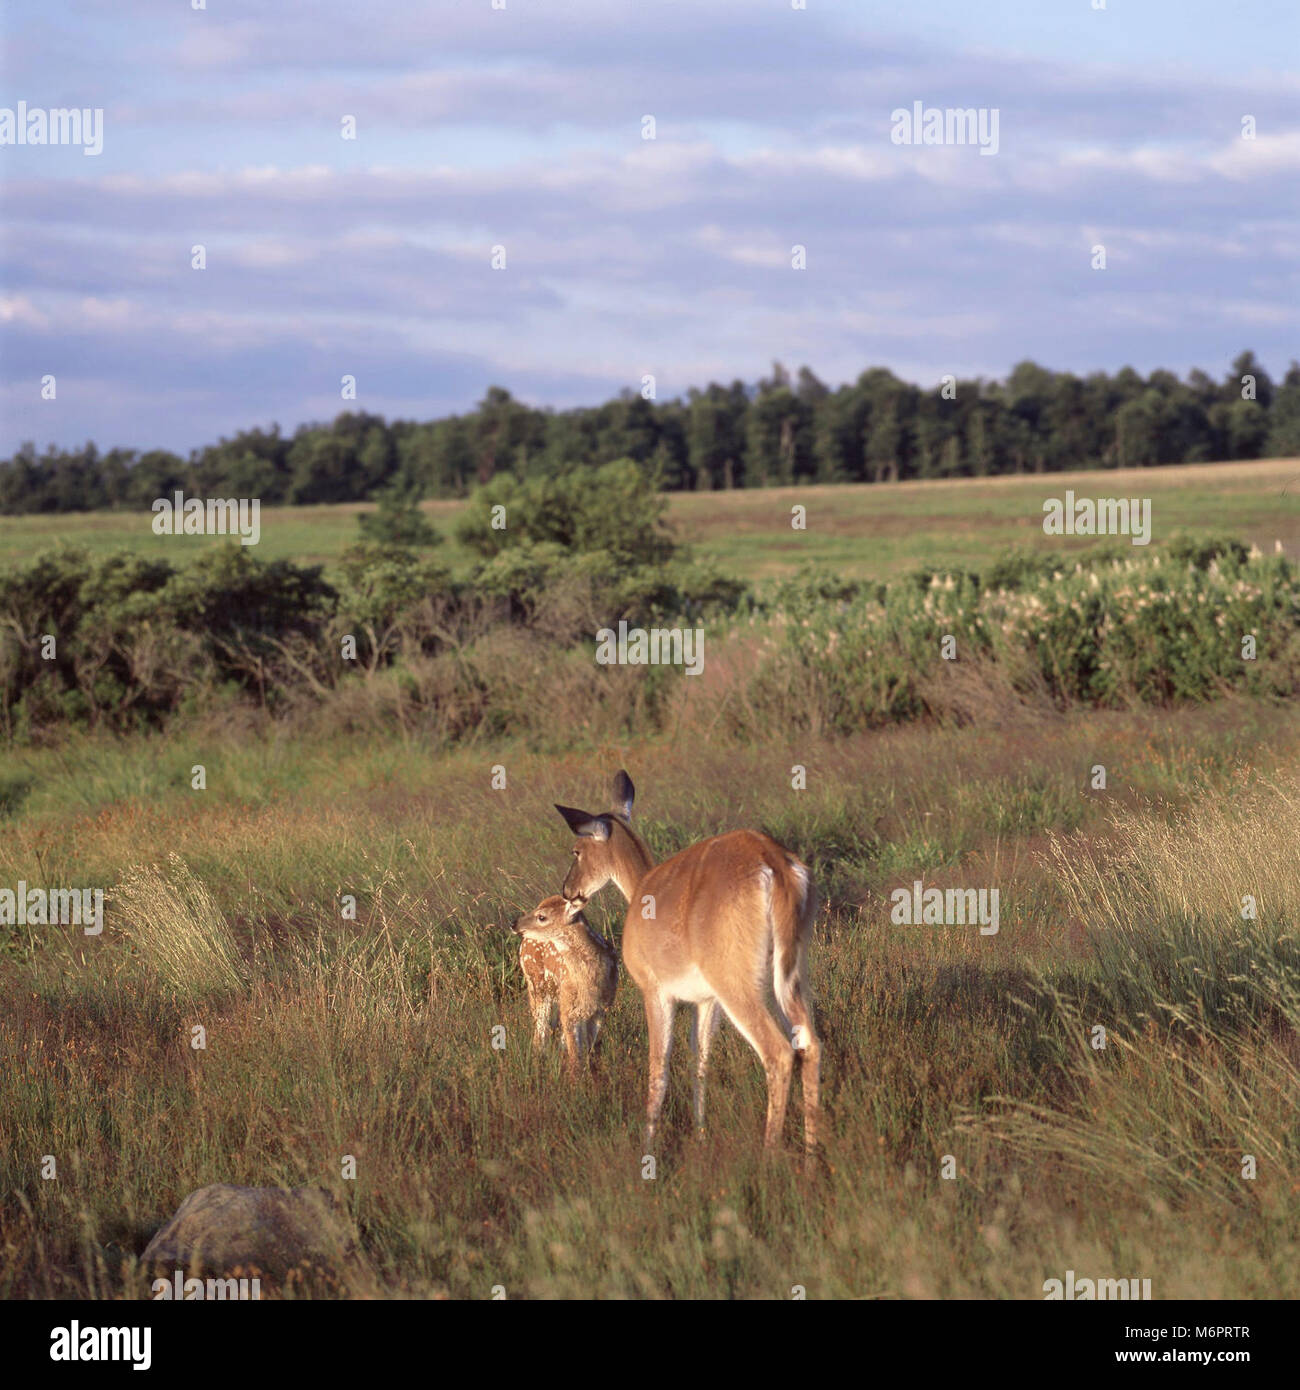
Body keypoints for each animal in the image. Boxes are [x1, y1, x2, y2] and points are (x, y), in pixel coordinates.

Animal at [513, 893, 617, 1076]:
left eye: (542, 916)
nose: (514, 923)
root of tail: (524, 941)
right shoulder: (569, 1009)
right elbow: (576, 1056)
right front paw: (575, 1081)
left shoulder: (601, 1009)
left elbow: (587, 1050)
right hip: (537, 987)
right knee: (541, 1033)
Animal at [554, 771, 821, 1167]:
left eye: (577, 849)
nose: (567, 890)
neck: (641, 891)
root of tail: (773, 863)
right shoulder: (706, 1001)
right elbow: (701, 1061)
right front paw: (699, 1135)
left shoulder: (655, 990)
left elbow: (659, 1066)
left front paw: (648, 1148)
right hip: (790, 974)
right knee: (811, 1045)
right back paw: (812, 1157)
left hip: (737, 984)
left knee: (778, 1053)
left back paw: (768, 1159)